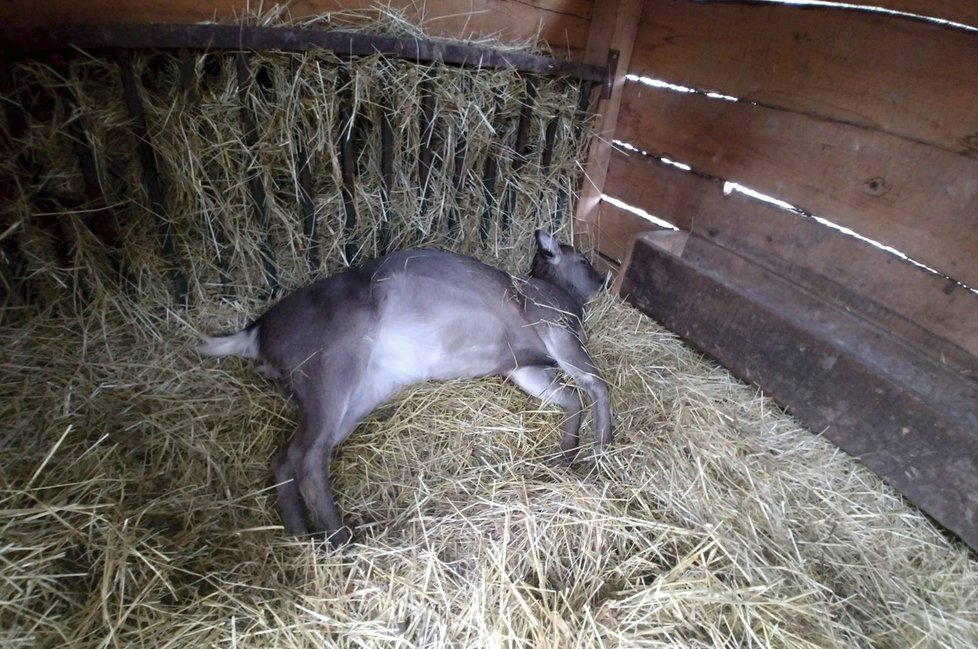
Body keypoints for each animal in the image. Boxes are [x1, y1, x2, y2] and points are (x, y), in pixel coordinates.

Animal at [198, 230, 608, 544]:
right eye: (583, 258)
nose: (605, 277)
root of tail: (256, 333)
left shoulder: (521, 367)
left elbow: (571, 397)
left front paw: (567, 455)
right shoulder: (558, 328)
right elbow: (597, 383)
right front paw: (602, 446)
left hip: (365, 388)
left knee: (287, 454)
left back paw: (300, 536)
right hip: (329, 364)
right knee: (306, 453)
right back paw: (341, 540)